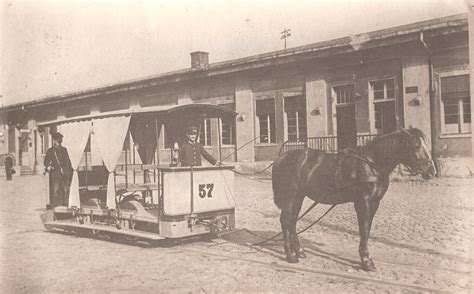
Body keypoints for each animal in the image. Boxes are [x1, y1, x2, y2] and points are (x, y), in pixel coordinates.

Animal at [272, 127, 436, 272]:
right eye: (416, 145)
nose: (431, 171)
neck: (371, 164)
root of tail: (280, 158)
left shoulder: (374, 202)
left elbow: (367, 229)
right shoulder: (364, 202)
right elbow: (364, 229)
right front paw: (366, 261)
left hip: (298, 197)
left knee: (292, 220)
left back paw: (299, 251)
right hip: (290, 196)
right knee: (286, 221)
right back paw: (291, 255)